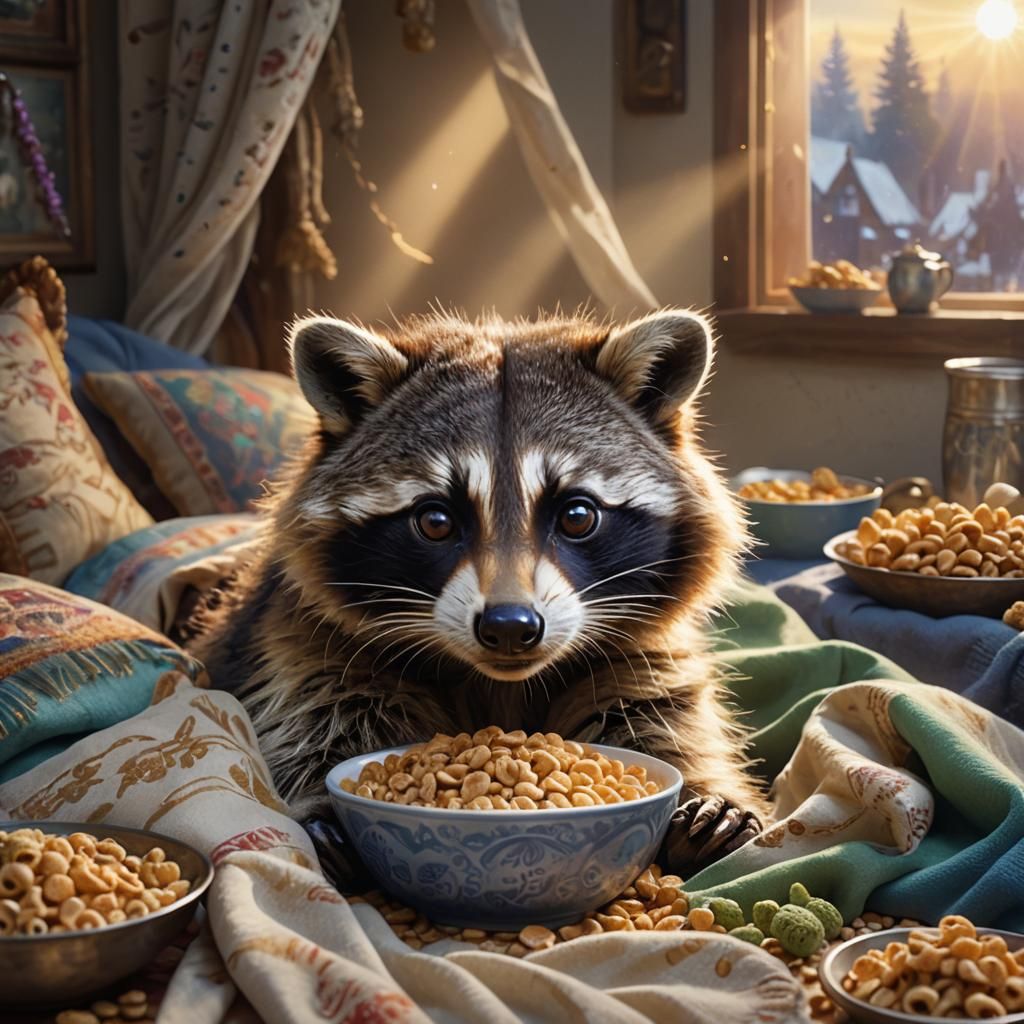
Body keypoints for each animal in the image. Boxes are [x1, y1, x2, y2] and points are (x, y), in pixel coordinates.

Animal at [192, 308, 768, 872]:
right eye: (436, 521)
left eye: (578, 516)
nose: (509, 627)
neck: (498, 682)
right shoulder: (308, 640)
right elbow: (320, 717)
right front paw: (320, 802)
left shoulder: (644, 650)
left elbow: (658, 712)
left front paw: (702, 788)